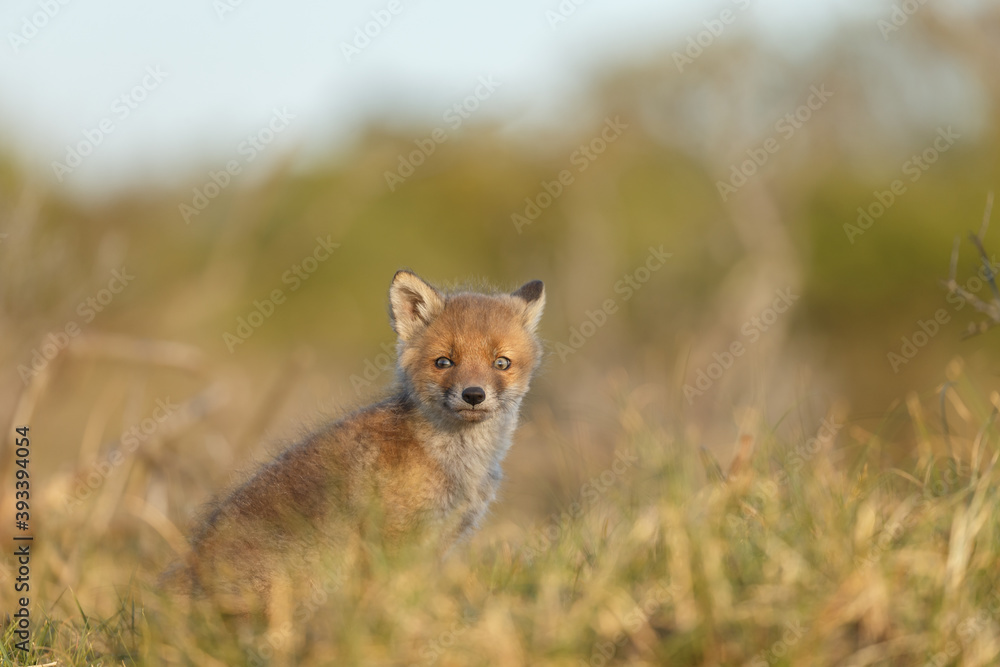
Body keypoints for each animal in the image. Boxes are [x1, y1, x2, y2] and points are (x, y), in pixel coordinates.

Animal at [160, 270, 545, 611]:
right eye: (444, 362)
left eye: (501, 363)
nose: (474, 395)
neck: (457, 462)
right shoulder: (392, 539)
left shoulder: (439, 541)